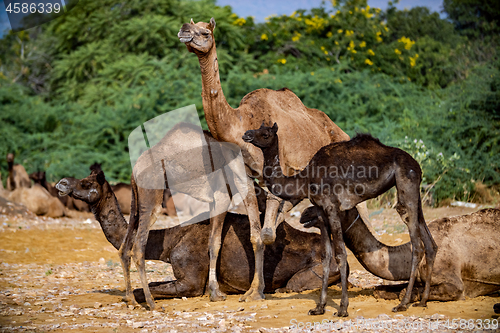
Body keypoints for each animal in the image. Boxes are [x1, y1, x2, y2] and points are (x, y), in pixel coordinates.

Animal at [54, 170, 344, 300]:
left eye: (87, 183)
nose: (62, 182)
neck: (171, 240)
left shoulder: (191, 282)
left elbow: (142, 291)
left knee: (293, 284)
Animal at [178, 18, 370, 304]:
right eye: (191, 26)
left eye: (205, 32)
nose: (184, 31)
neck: (239, 125)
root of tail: (338, 131)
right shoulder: (246, 176)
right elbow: (257, 235)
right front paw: (252, 290)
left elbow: (267, 233)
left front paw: (257, 291)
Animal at [243, 122, 438, 316]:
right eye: (257, 127)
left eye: (266, 134)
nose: (247, 134)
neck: (306, 179)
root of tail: (416, 165)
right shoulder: (322, 213)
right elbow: (326, 256)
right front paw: (319, 307)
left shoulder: (332, 207)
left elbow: (340, 254)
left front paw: (343, 308)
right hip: (414, 193)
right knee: (430, 244)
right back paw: (423, 301)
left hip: (406, 185)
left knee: (416, 245)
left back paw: (403, 303)